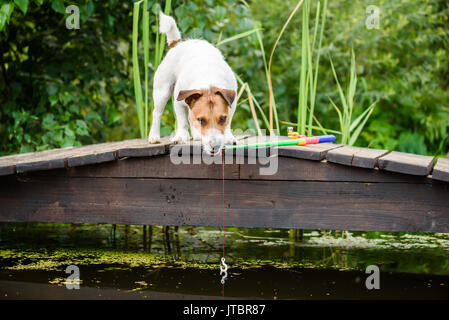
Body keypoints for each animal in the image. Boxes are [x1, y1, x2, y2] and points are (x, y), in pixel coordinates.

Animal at [147, 13, 238, 156]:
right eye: (201, 120)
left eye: (223, 119)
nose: (215, 146)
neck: (208, 80)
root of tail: (178, 44)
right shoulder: (178, 103)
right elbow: (183, 121)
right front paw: (180, 137)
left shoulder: (232, 103)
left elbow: (228, 122)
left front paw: (228, 136)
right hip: (162, 91)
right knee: (157, 113)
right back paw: (154, 136)